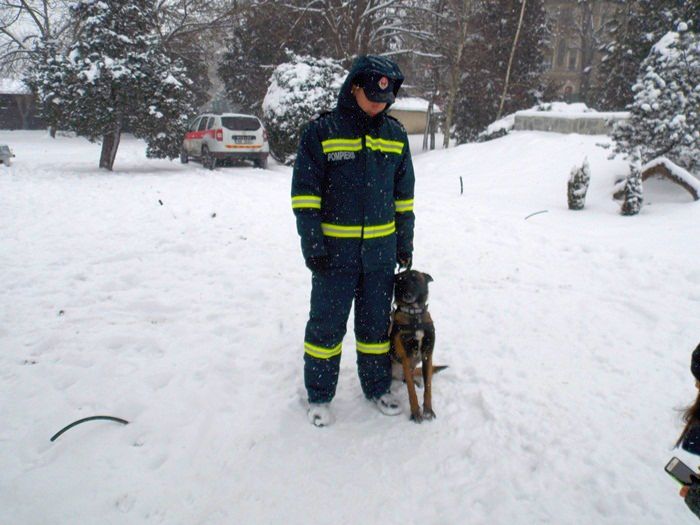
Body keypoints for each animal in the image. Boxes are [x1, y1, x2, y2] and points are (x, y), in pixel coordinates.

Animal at [389, 269, 439, 423]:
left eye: (415, 279)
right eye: (401, 281)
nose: (407, 295)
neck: (414, 316)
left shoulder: (428, 355)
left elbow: (428, 387)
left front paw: (428, 410)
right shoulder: (406, 358)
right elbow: (411, 391)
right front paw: (416, 412)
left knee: (409, 377)